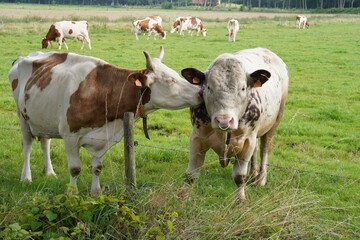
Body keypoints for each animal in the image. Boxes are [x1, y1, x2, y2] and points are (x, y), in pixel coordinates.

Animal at [8, 46, 202, 196]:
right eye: (170, 80)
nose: (200, 93)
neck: (101, 90)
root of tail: (23, 57)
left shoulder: (104, 137)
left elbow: (97, 167)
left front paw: (96, 192)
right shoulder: (70, 135)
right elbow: (75, 168)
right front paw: (72, 193)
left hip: (42, 119)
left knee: (45, 142)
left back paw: (49, 172)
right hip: (22, 116)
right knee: (27, 146)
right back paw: (26, 177)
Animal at [181, 47, 288, 203]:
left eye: (243, 88)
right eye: (208, 87)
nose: (224, 121)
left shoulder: (247, 141)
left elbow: (239, 177)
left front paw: (240, 201)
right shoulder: (196, 138)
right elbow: (191, 175)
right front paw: (183, 198)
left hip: (274, 123)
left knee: (264, 148)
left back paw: (261, 179)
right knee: (256, 149)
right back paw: (253, 173)